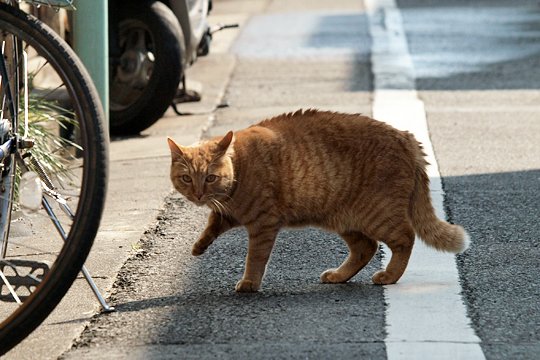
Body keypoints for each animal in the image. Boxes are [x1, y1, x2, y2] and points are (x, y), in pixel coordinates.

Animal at [169, 109, 468, 292]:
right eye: (187, 178)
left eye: (210, 177)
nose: (198, 194)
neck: (239, 167)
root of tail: (406, 137)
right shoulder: (227, 213)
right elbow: (211, 226)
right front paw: (199, 247)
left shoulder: (263, 224)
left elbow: (255, 257)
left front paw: (249, 283)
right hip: (345, 219)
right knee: (366, 248)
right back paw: (339, 276)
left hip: (377, 214)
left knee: (404, 239)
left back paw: (389, 276)